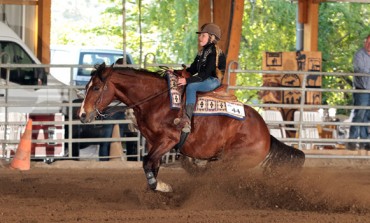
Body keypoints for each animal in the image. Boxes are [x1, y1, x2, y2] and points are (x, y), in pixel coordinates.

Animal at [78, 62, 304, 192]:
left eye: (96, 88)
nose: (82, 115)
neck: (157, 100)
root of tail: (266, 134)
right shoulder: (153, 141)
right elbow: (152, 165)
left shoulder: (168, 140)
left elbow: (147, 162)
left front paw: (161, 187)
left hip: (233, 161)